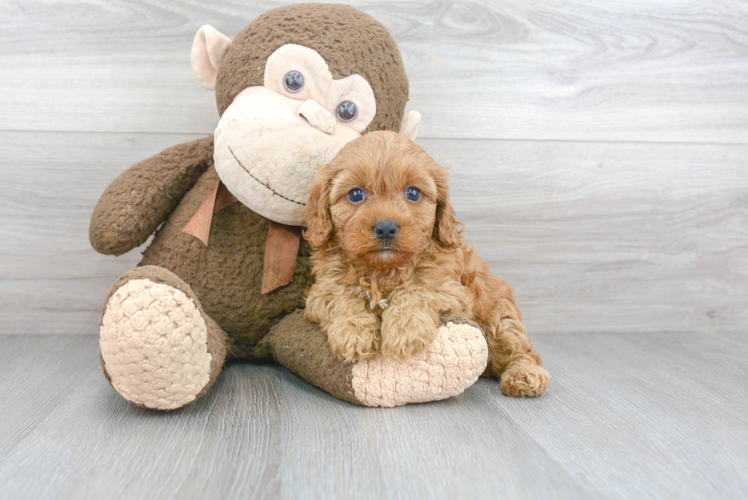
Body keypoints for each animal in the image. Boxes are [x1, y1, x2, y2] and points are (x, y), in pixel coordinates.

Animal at [304, 131, 548, 396]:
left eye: (413, 193)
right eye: (356, 195)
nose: (386, 228)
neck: (383, 270)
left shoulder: (452, 290)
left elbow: (417, 290)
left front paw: (404, 332)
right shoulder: (322, 290)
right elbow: (343, 297)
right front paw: (354, 333)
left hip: (498, 314)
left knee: (518, 348)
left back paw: (525, 375)